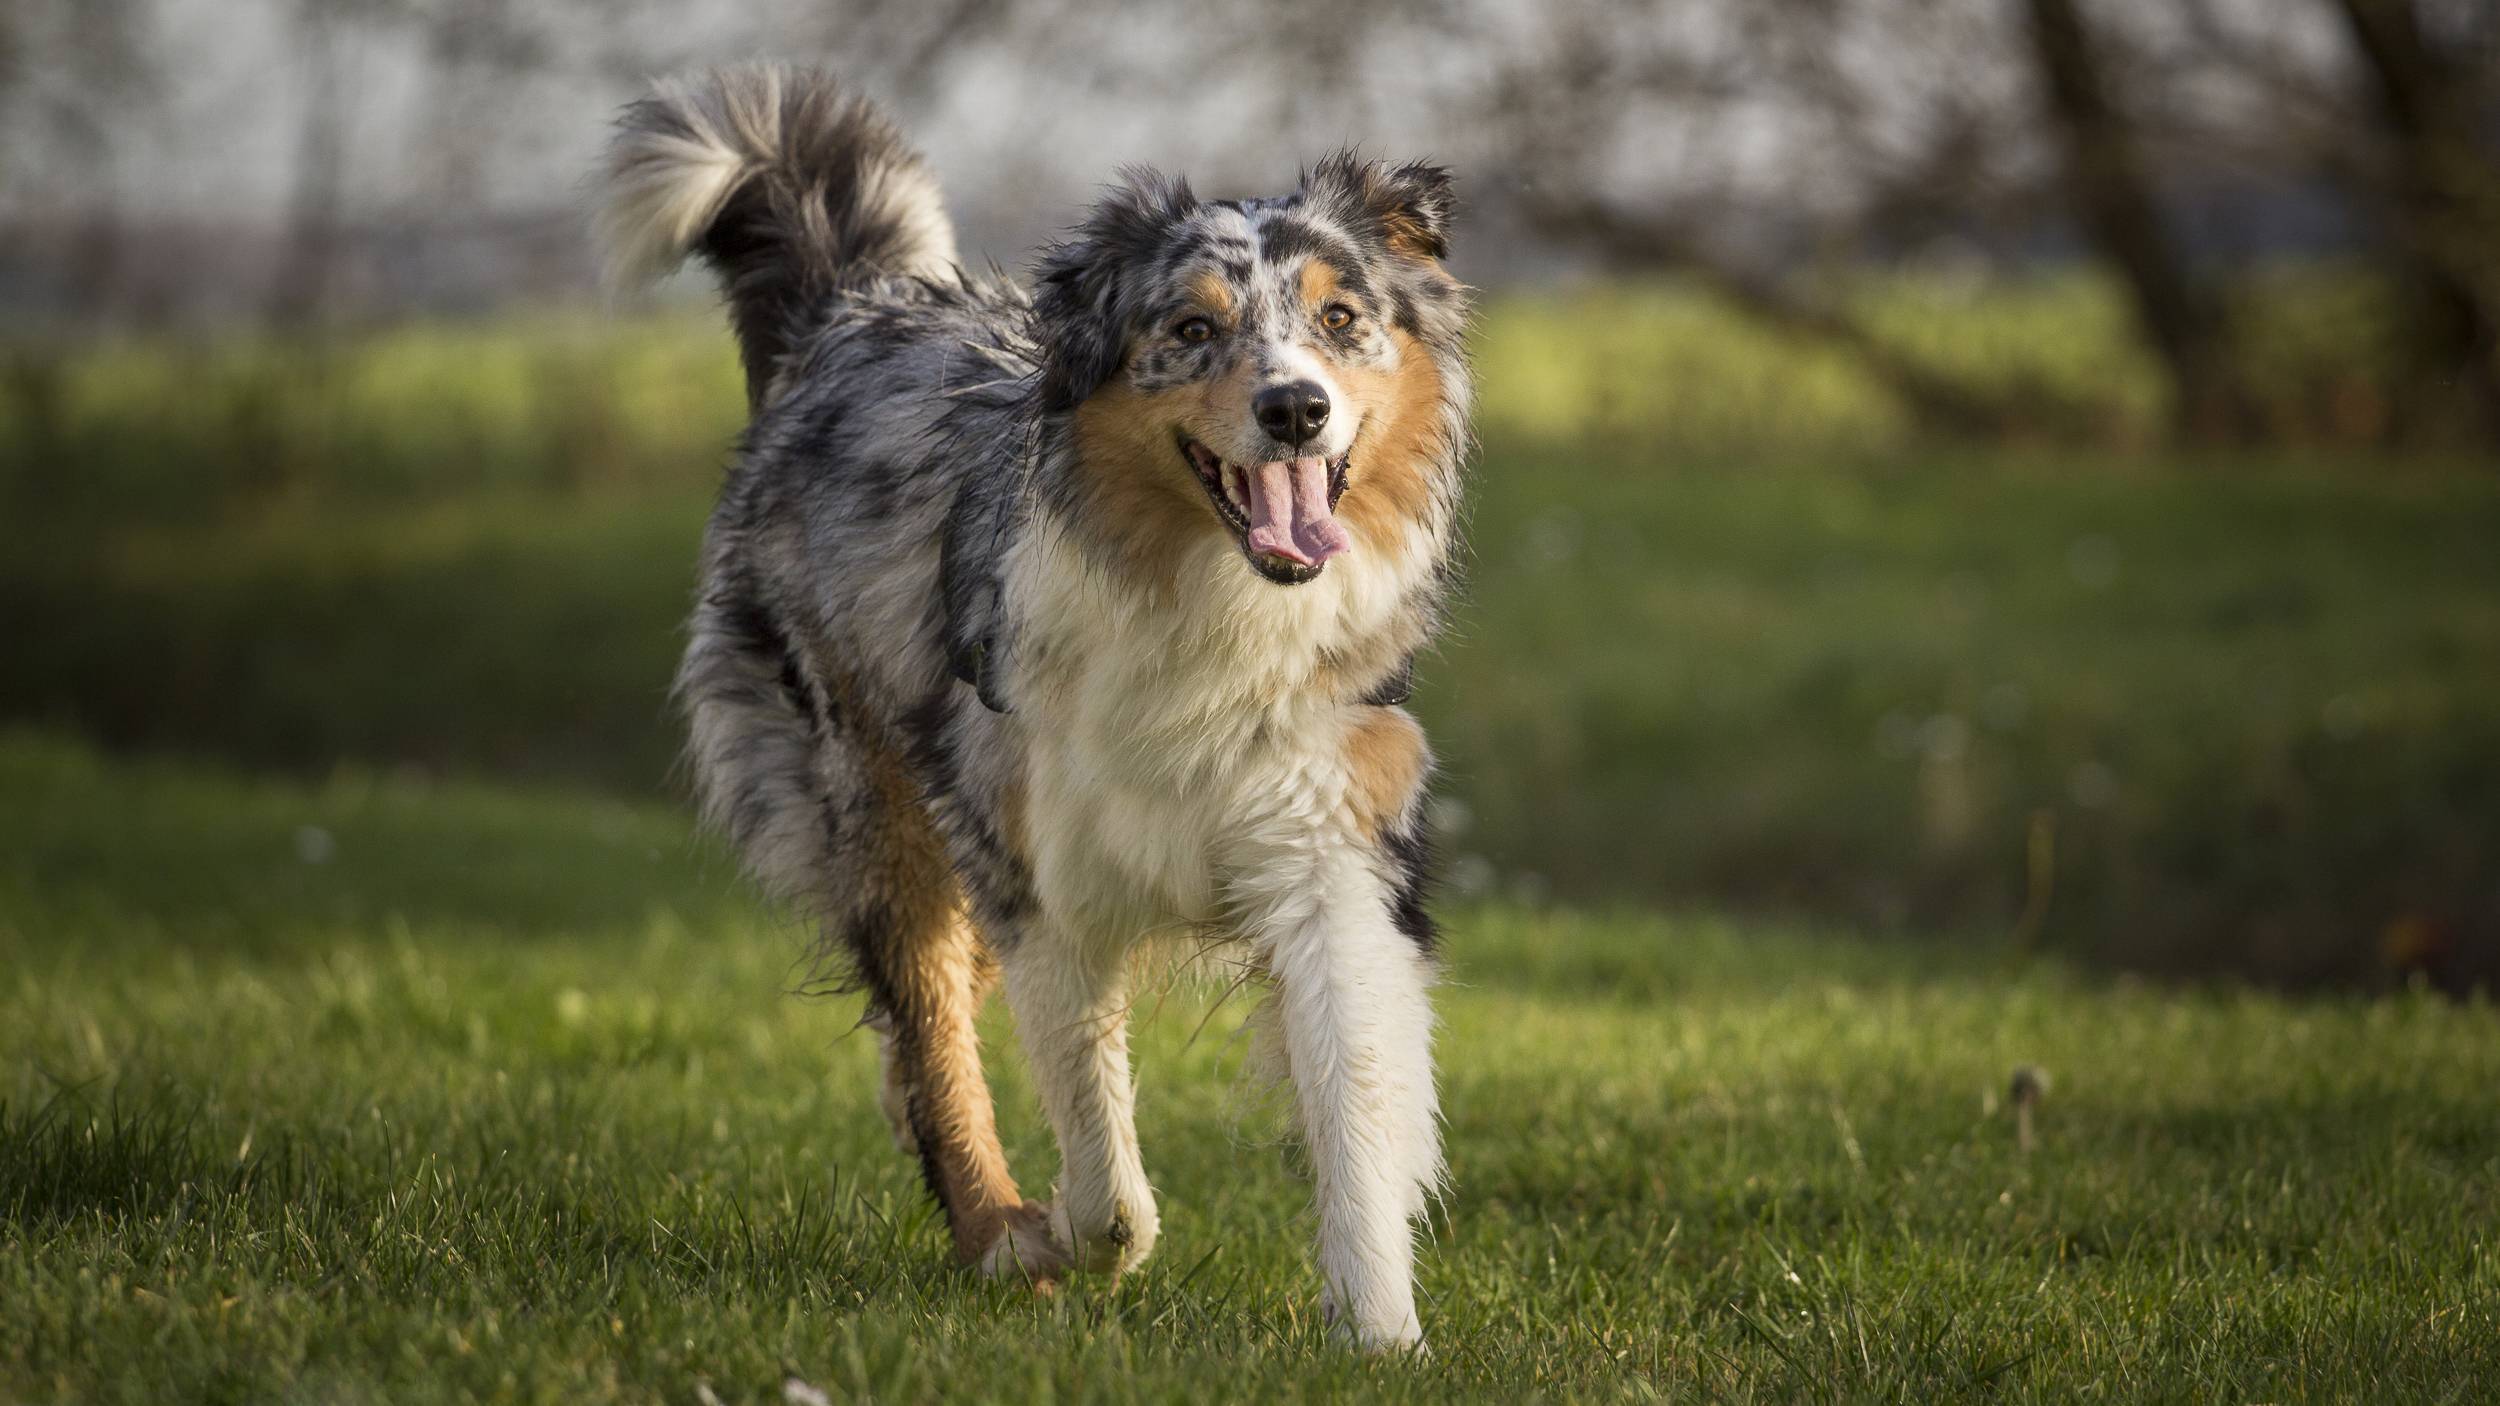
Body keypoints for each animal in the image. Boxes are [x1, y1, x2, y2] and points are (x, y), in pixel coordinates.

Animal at [597, 65, 1470, 1350]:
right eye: (1191, 329)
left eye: (1340, 320)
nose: (1296, 409)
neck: (1204, 599)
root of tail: (853, 307)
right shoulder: (1037, 872)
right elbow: (1103, 1162)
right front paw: (1066, 1233)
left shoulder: (1326, 855)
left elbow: (1354, 1105)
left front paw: (1379, 1333)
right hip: (875, 802)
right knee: (929, 1020)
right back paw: (995, 1220)